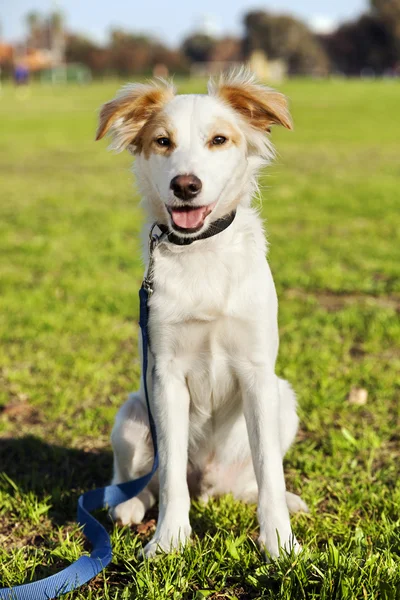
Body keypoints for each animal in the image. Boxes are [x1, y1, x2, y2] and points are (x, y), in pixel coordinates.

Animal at [95, 71, 308, 564]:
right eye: (162, 141)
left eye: (218, 140)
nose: (186, 185)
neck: (202, 254)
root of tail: (209, 483)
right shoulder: (166, 378)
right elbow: (171, 474)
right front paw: (168, 541)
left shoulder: (257, 374)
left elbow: (270, 474)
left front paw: (280, 543)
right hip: (131, 416)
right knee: (139, 480)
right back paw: (128, 505)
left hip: (283, 400)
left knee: (250, 483)